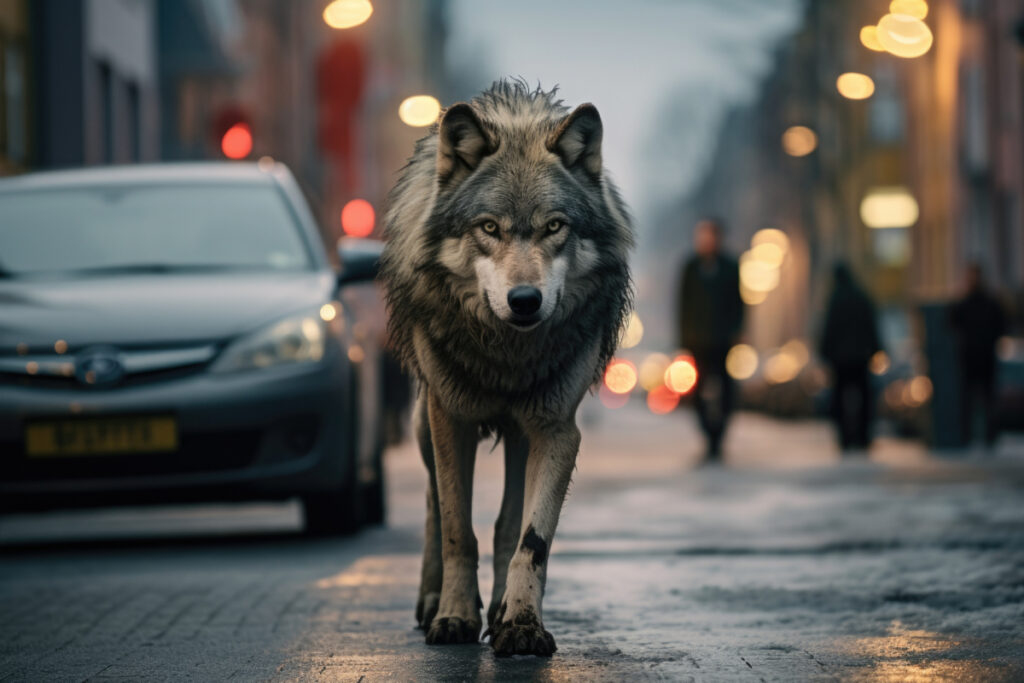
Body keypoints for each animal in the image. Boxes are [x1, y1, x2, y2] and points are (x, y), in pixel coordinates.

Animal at [379, 80, 634, 657]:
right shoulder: (451, 420)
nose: (524, 300)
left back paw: (497, 609)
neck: (507, 359)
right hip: (425, 422)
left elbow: (530, 539)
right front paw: (453, 616)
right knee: (432, 505)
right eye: (489, 227)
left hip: (522, 435)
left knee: (505, 524)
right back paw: (432, 601)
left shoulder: (557, 430)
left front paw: (520, 625)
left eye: (555, 226)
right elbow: (457, 528)